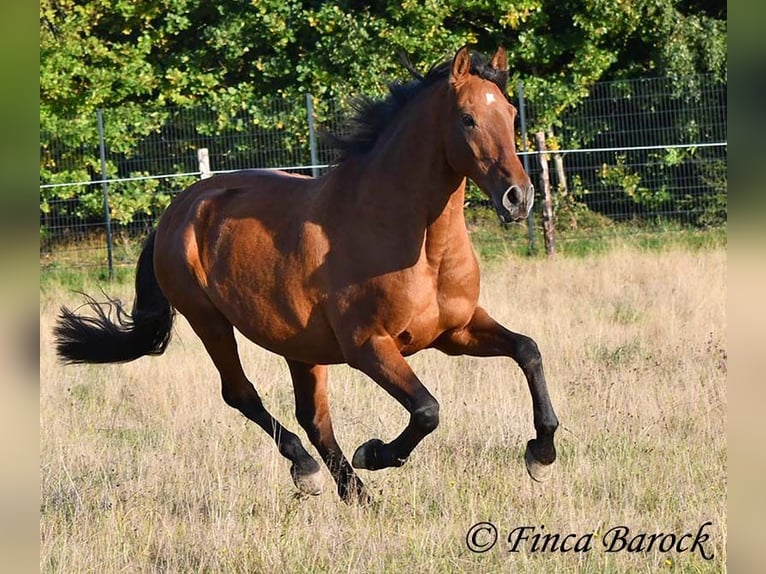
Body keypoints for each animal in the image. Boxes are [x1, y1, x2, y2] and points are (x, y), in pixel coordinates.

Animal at [54, 46, 559, 504]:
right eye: (468, 119)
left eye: (511, 113)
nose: (519, 198)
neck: (416, 244)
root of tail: (178, 210)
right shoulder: (369, 347)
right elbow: (427, 410)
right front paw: (374, 453)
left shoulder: (456, 331)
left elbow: (528, 350)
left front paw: (541, 454)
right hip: (208, 321)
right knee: (242, 394)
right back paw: (310, 471)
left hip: (300, 345)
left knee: (312, 418)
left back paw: (355, 494)